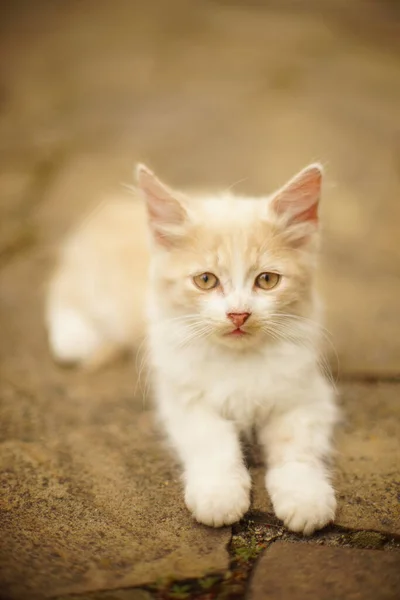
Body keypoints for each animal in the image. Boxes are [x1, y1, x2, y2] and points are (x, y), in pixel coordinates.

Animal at [48, 163, 340, 536]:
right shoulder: (183, 395)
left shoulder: (307, 394)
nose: (238, 314)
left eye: (267, 280)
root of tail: (113, 204)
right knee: (62, 287)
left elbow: (297, 448)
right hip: (101, 292)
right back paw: (74, 337)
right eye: (205, 280)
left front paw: (305, 498)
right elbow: (212, 442)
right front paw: (219, 495)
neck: (238, 358)